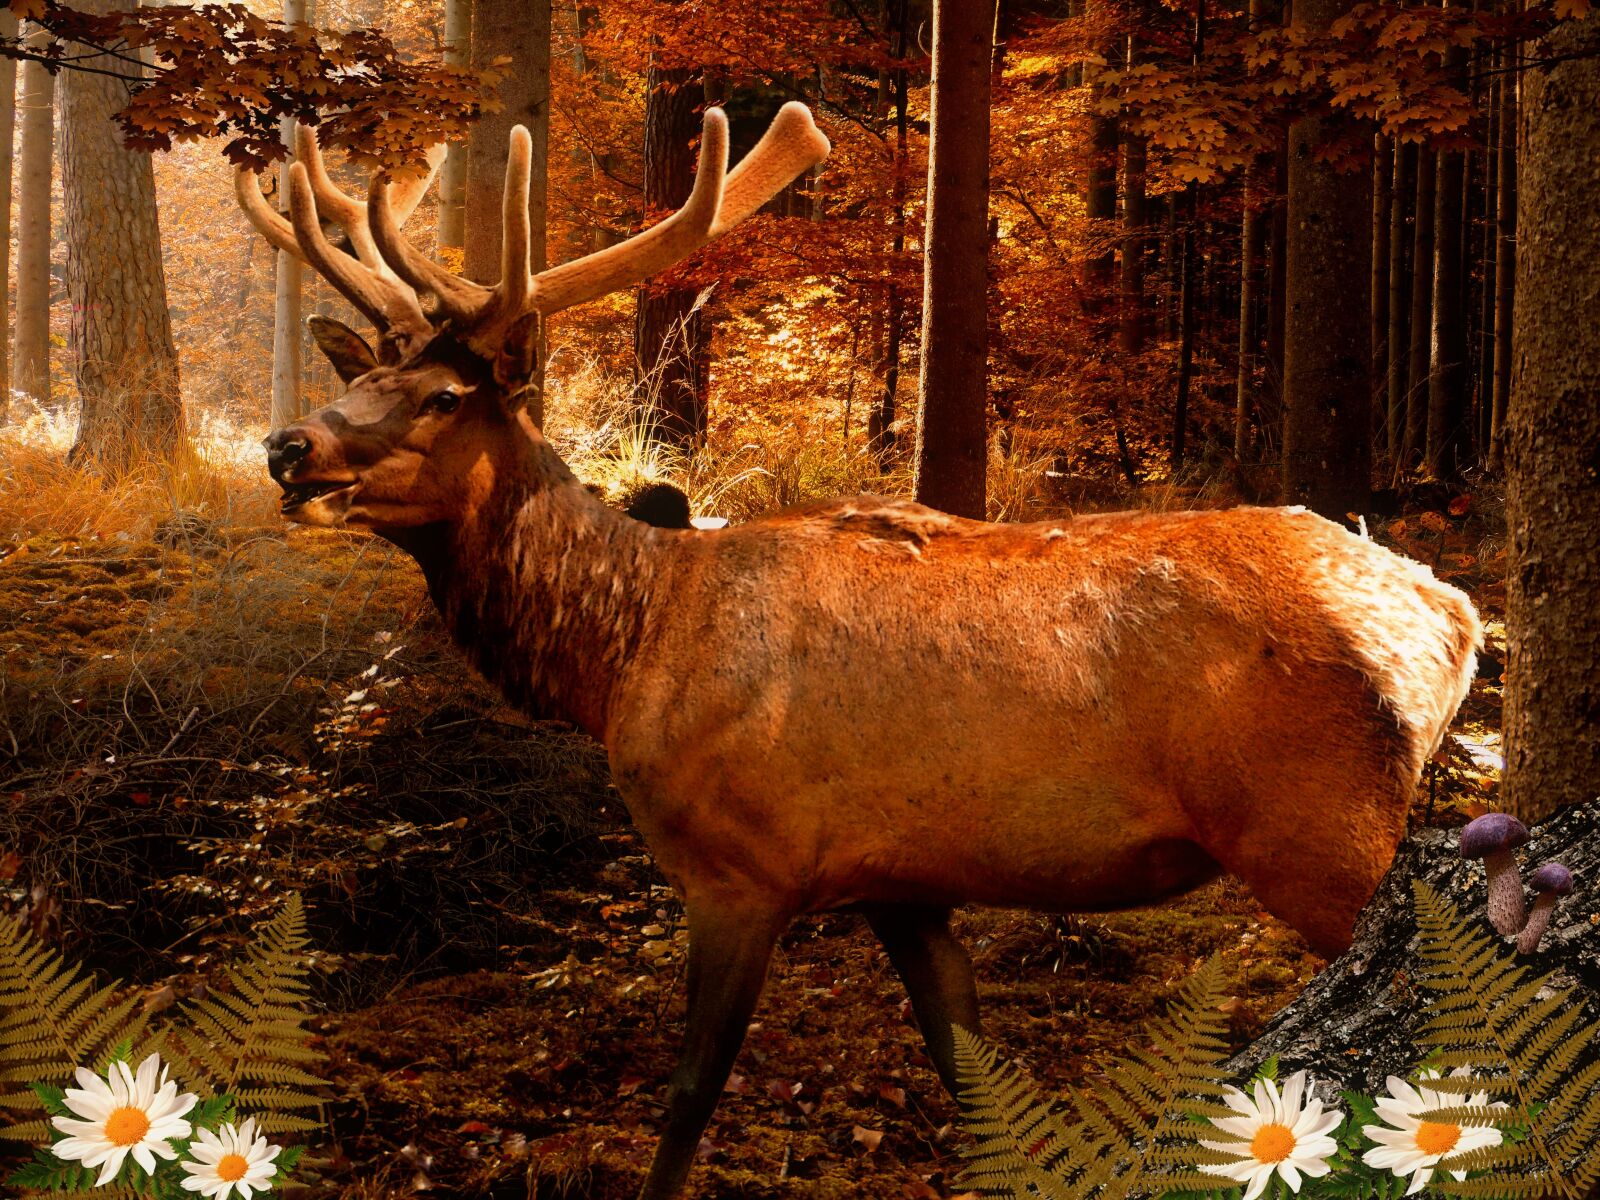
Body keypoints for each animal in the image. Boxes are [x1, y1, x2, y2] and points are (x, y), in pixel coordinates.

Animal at [239, 102, 1482, 1198]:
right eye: (361, 374)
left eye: (445, 394)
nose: (287, 447)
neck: (626, 648)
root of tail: (1453, 616)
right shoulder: (904, 882)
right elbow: (972, 1080)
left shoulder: (747, 864)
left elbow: (687, 1097)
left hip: (1320, 825)